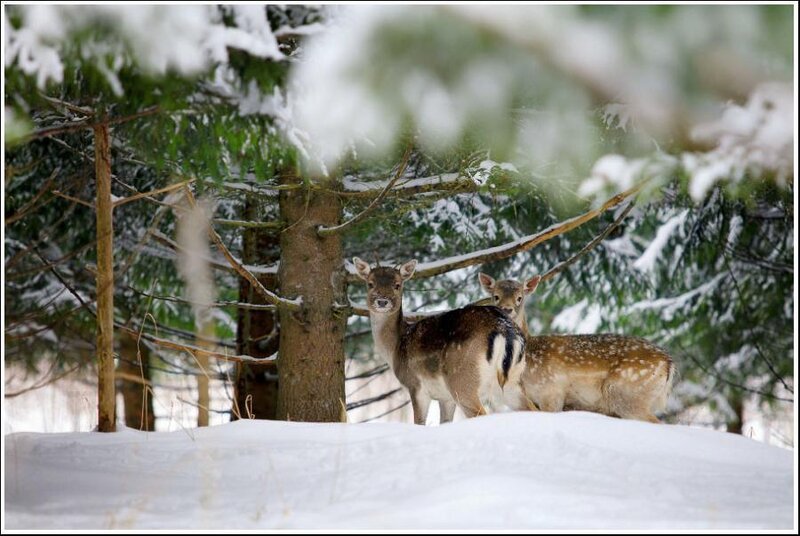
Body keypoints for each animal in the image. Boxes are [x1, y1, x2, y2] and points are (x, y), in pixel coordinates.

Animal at [353, 257, 527, 425]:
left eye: (397, 285)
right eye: (370, 284)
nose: (382, 301)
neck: (396, 346)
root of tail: (504, 330)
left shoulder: (415, 385)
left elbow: (419, 422)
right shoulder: (445, 398)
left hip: (462, 381)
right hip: (514, 383)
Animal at [478, 273, 677, 423]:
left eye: (520, 298)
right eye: (495, 296)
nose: (507, 309)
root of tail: (669, 363)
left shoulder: (550, 391)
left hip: (626, 393)